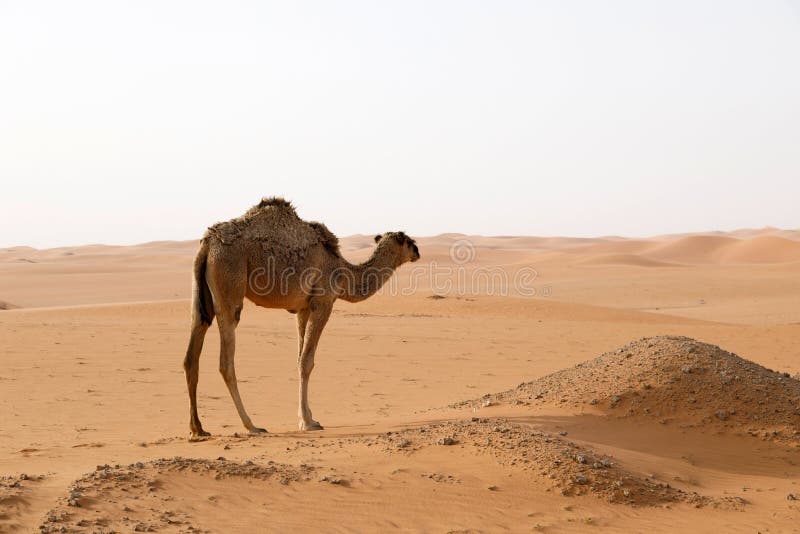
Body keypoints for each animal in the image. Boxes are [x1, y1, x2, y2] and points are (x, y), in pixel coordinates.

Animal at [183, 197, 420, 437]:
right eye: (407, 239)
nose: (418, 251)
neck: (343, 272)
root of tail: (207, 243)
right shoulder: (322, 302)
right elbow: (307, 361)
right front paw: (308, 422)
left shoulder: (303, 309)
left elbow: (299, 359)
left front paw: (307, 416)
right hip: (229, 284)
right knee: (226, 361)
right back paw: (252, 425)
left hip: (201, 295)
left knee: (192, 351)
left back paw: (198, 428)